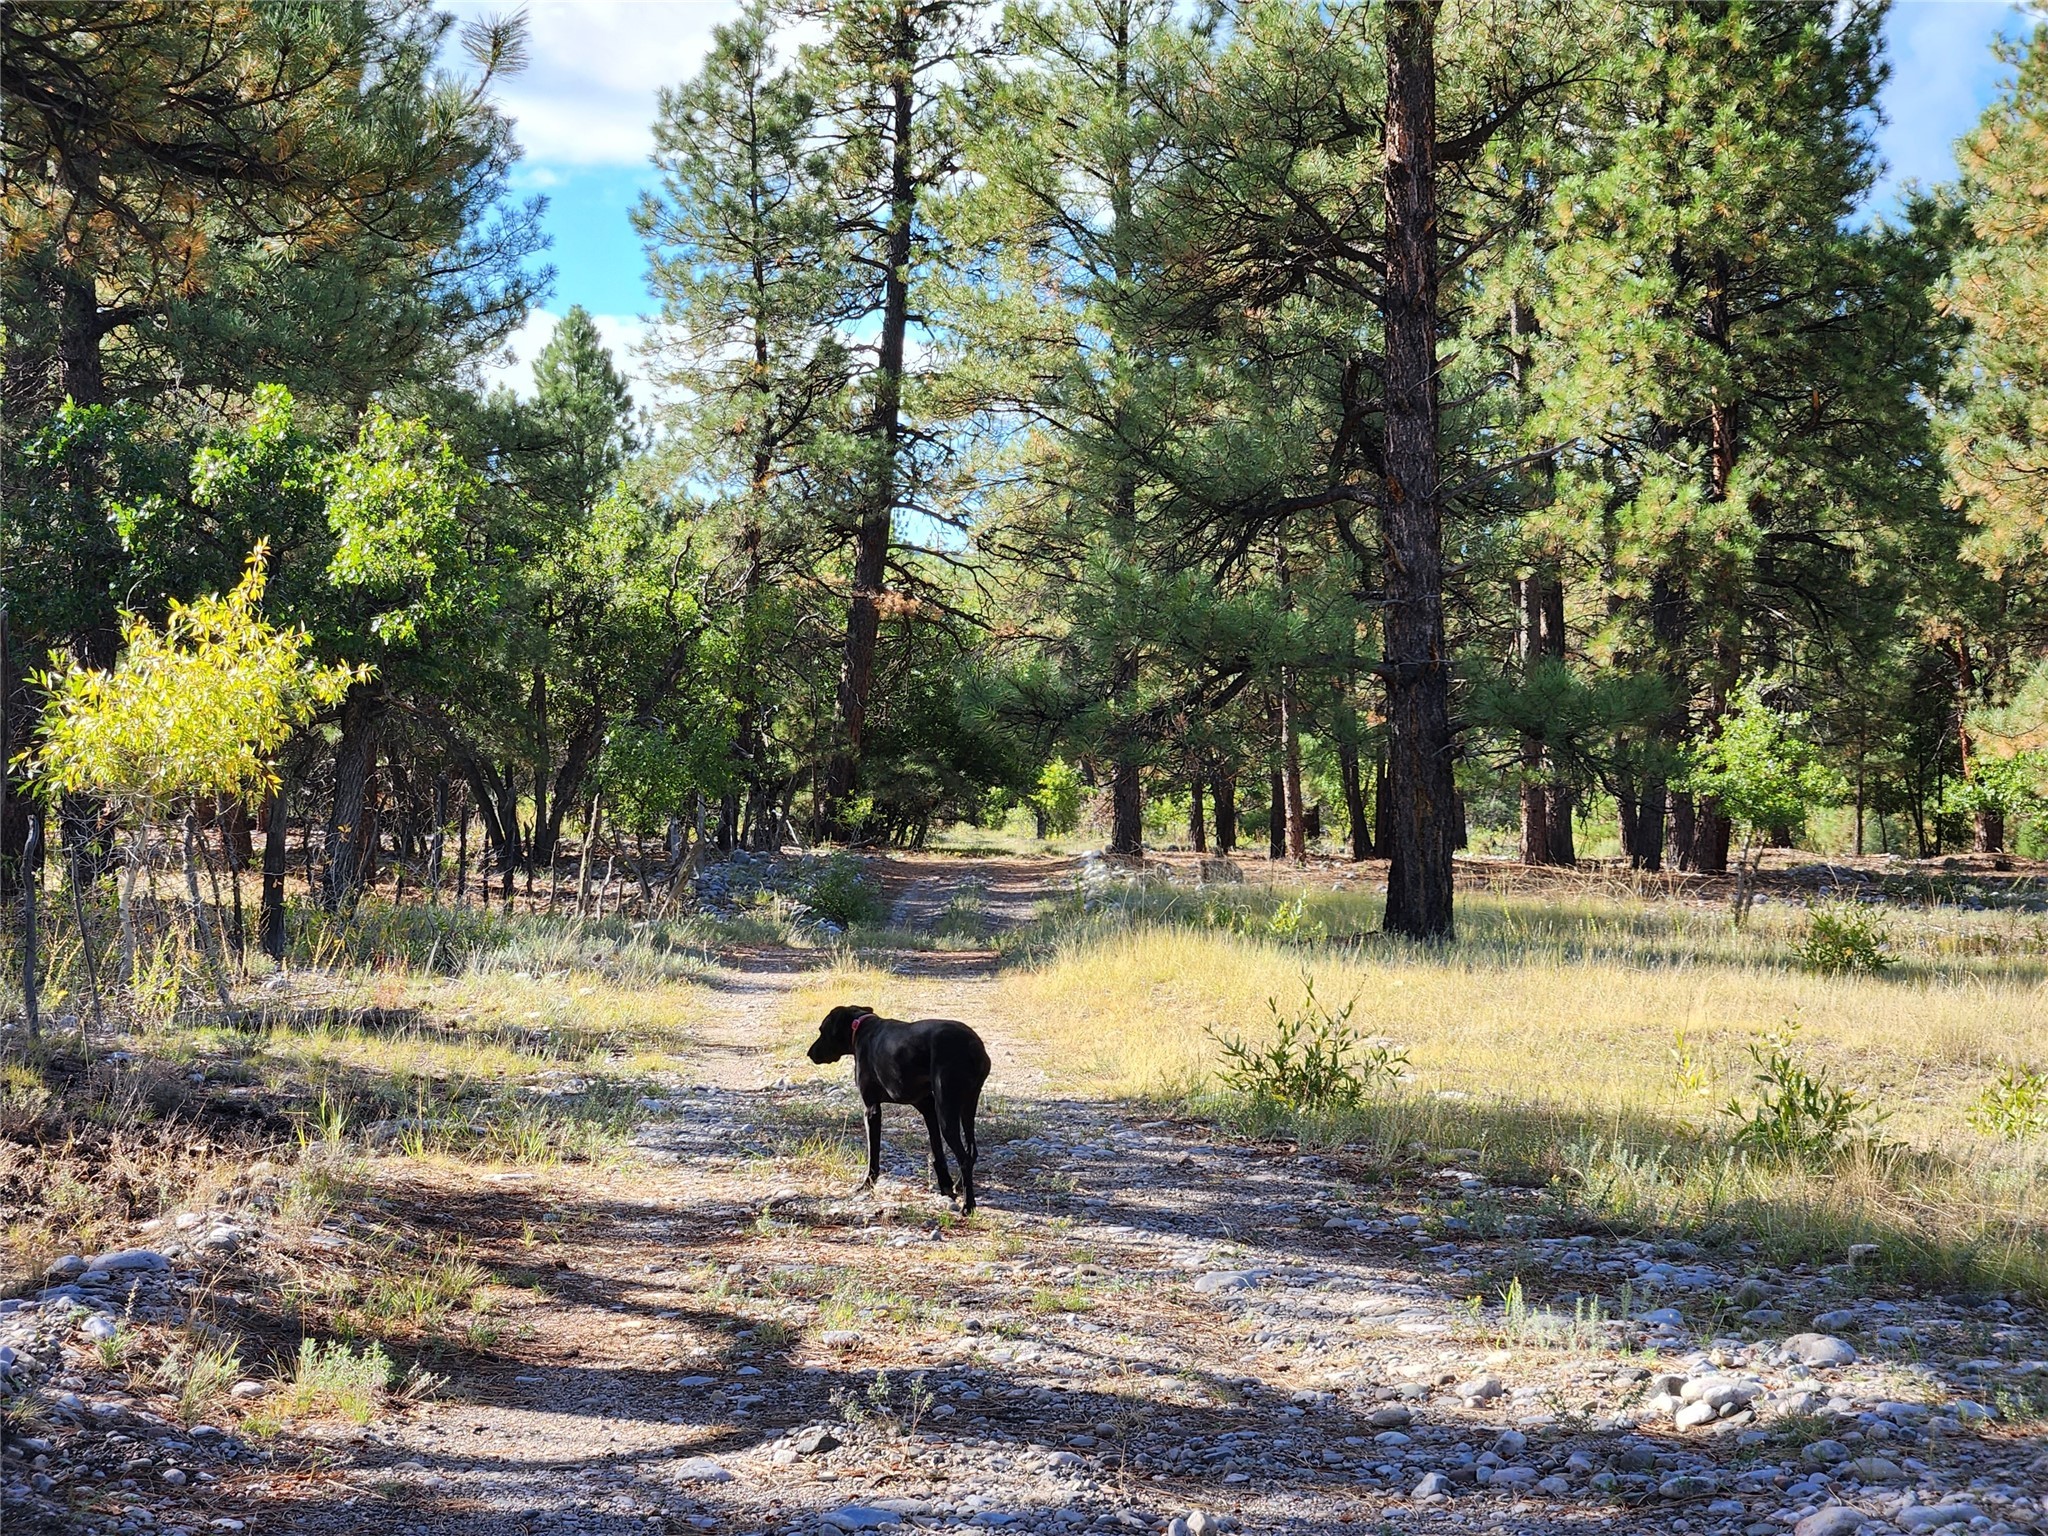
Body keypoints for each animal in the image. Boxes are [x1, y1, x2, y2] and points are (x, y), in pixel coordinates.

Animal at [802, 1011, 987, 1212]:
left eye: (822, 1030)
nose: (809, 1053)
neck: (860, 1025)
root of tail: (973, 1045)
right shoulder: (927, 1106)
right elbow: (937, 1149)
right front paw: (945, 1185)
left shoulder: (872, 1109)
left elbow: (873, 1155)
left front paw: (867, 1184)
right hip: (967, 1106)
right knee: (971, 1151)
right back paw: (961, 1186)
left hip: (947, 1111)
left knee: (965, 1159)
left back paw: (968, 1205)